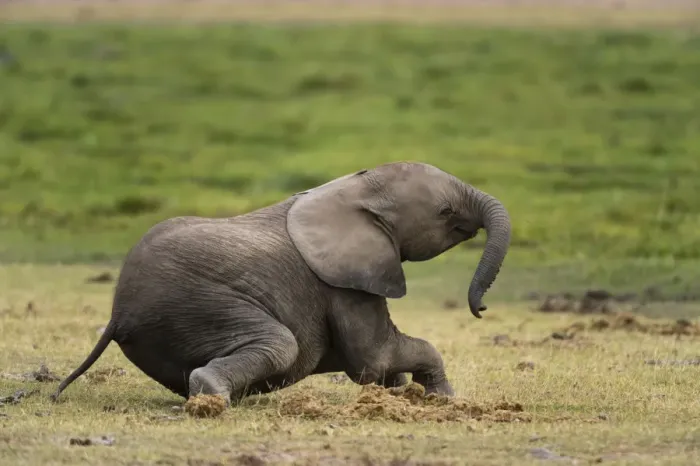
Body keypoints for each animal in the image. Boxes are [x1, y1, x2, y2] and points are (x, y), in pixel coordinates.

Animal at [51, 161, 511, 403]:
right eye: (445, 212)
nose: (481, 308)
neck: (353, 189)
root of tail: (117, 312)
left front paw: (400, 394)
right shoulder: (344, 281)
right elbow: (373, 357)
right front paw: (443, 398)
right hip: (197, 306)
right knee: (280, 345)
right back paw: (213, 399)